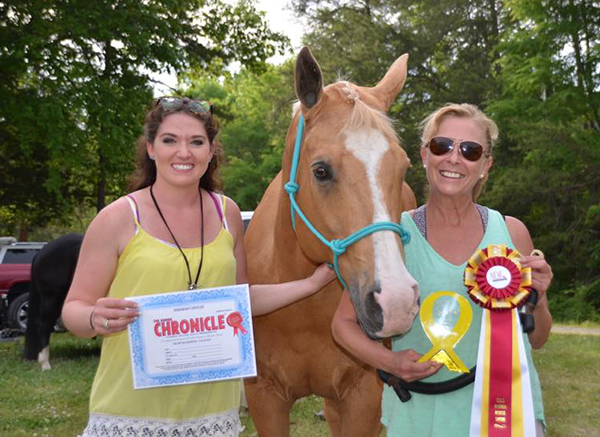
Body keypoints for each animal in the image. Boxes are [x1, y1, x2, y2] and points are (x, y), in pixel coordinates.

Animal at [244, 46, 418, 434]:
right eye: (321, 171)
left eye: (403, 168)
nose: (396, 302)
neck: (302, 313)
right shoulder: (265, 398)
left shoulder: (363, 396)